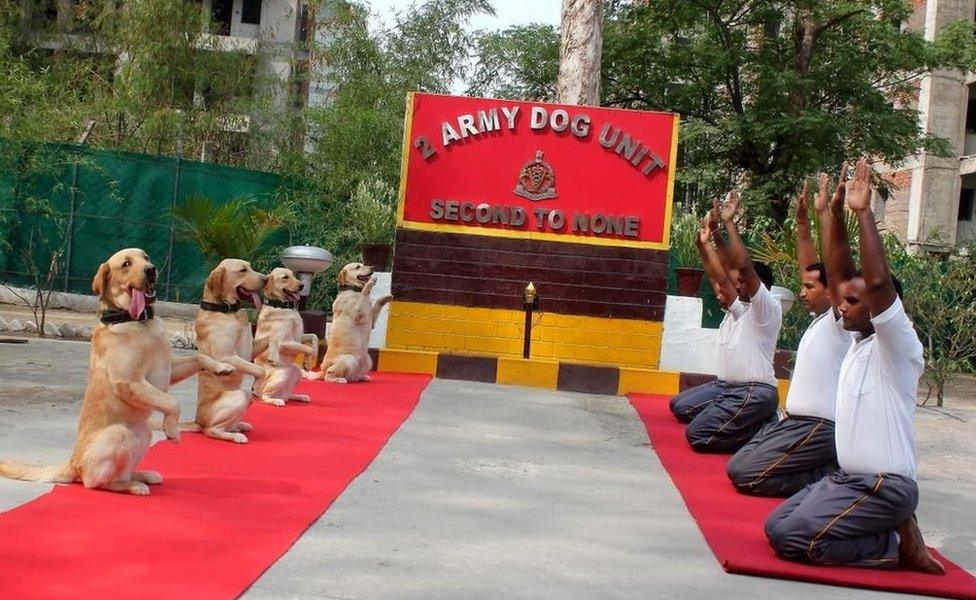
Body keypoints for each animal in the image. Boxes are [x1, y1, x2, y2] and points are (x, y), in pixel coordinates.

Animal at [0, 250, 234, 496]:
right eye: (126, 264)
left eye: (146, 257)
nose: (151, 269)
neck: (139, 321)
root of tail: (73, 461)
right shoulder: (128, 381)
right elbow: (172, 402)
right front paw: (172, 430)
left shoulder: (168, 370)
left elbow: (200, 358)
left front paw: (221, 367)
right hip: (119, 434)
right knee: (95, 482)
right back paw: (132, 485)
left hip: (144, 434)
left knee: (122, 472)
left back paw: (141, 475)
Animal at [188, 255, 266, 442]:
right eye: (243, 270)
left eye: (251, 267)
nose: (267, 279)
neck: (227, 310)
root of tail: (197, 421)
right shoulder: (226, 356)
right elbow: (260, 369)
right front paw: (258, 387)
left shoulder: (250, 349)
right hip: (240, 395)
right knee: (211, 430)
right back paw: (235, 436)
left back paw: (238, 426)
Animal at [252, 270, 316, 406]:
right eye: (285, 277)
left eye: (293, 275)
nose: (302, 285)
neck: (282, 306)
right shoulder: (284, 343)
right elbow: (308, 349)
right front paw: (309, 358)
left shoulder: (299, 337)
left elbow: (314, 337)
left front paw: (308, 362)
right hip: (281, 376)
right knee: (264, 396)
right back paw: (276, 401)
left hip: (296, 371)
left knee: (287, 395)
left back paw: (300, 396)